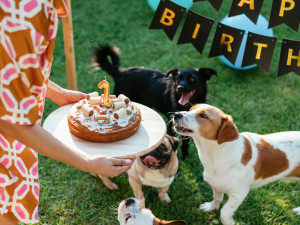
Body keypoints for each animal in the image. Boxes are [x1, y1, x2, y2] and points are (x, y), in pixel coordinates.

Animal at [171, 104, 300, 225]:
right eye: (190, 109)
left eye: (203, 115)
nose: (176, 114)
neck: (216, 154)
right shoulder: (215, 184)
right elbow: (217, 198)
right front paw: (212, 207)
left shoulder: (239, 194)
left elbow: (224, 212)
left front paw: (229, 222)